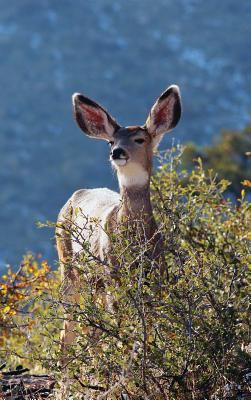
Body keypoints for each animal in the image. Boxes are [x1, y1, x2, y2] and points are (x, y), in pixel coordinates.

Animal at [56, 85, 181, 388]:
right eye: (110, 141)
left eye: (139, 138)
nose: (117, 152)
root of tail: (76, 194)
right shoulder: (114, 273)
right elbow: (122, 328)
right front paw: (129, 377)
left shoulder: (156, 276)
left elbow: (148, 327)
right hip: (69, 266)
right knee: (69, 326)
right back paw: (66, 379)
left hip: (96, 282)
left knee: (91, 328)